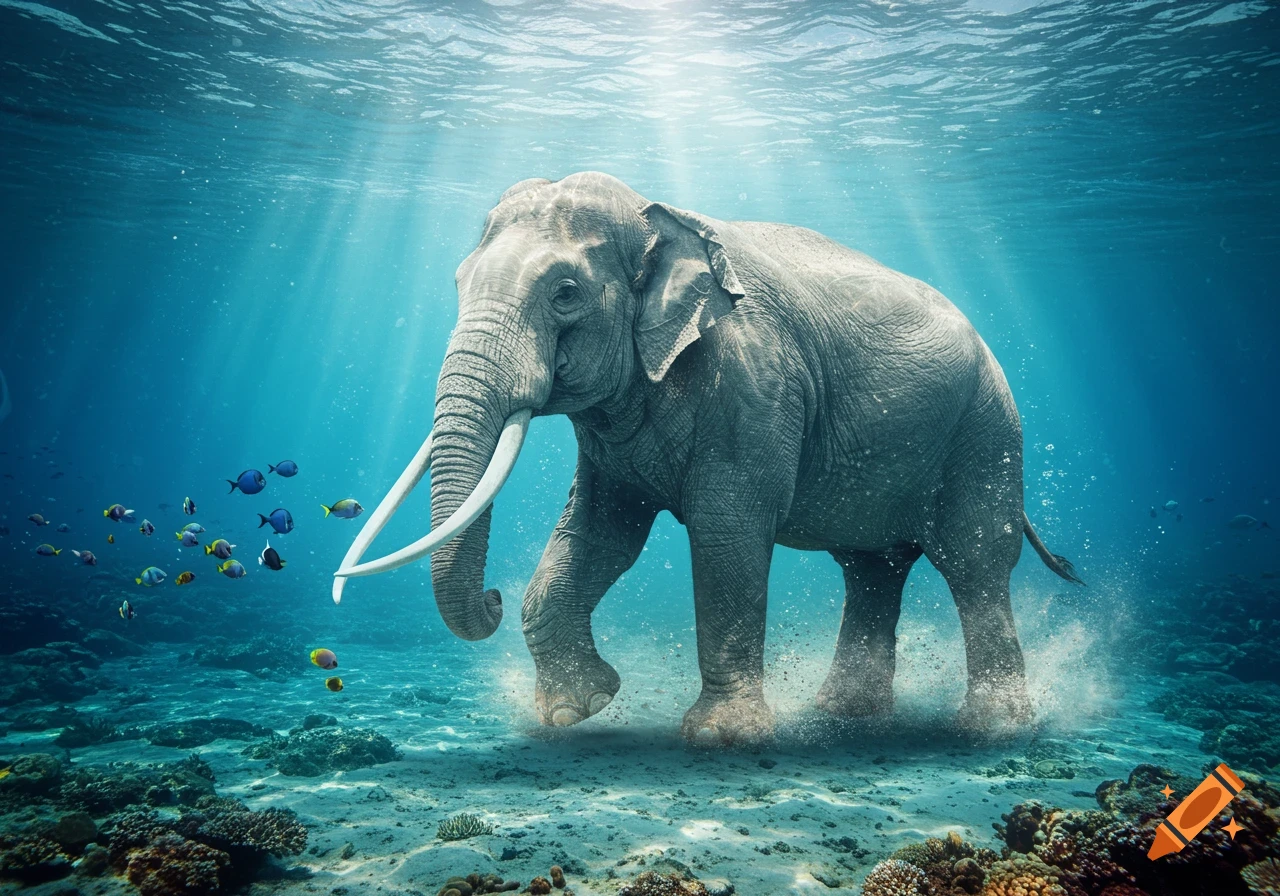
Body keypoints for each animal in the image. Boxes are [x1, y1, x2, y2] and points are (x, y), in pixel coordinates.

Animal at [333, 171, 1083, 746]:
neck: (657, 213)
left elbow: (728, 536)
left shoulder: (751, 384)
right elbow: (598, 535)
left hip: (987, 432)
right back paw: (843, 716)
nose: (488, 596)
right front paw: (578, 711)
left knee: (974, 562)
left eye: (565, 293)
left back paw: (992, 729)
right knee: (872, 570)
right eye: (458, 283)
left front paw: (721, 738)